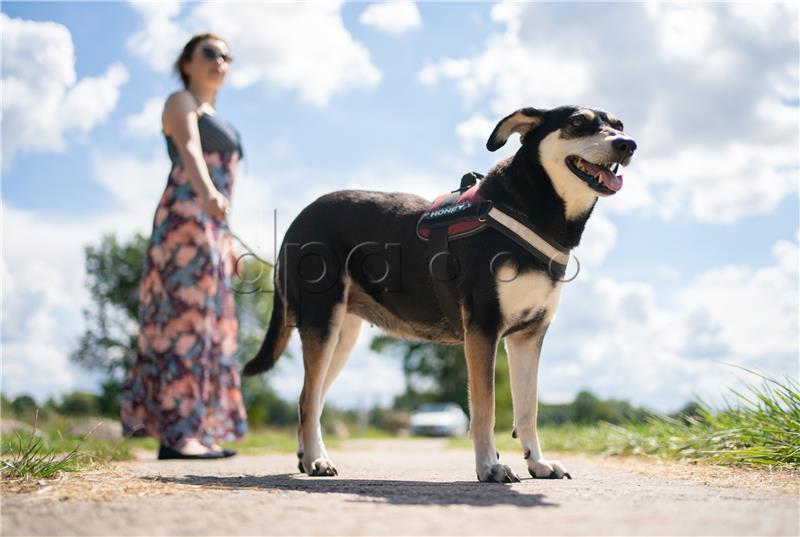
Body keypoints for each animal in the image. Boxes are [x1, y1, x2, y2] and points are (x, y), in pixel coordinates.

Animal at [244, 104, 636, 482]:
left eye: (619, 124)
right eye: (578, 123)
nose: (627, 144)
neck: (531, 210)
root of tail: (298, 219)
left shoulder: (528, 336)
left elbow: (528, 409)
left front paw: (537, 463)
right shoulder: (483, 328)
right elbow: (485, 408)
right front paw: (489, 466)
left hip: (340, 336)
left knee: (312, 398)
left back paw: (307, 456)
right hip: (322, 322)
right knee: (308, 400)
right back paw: (317, 461)